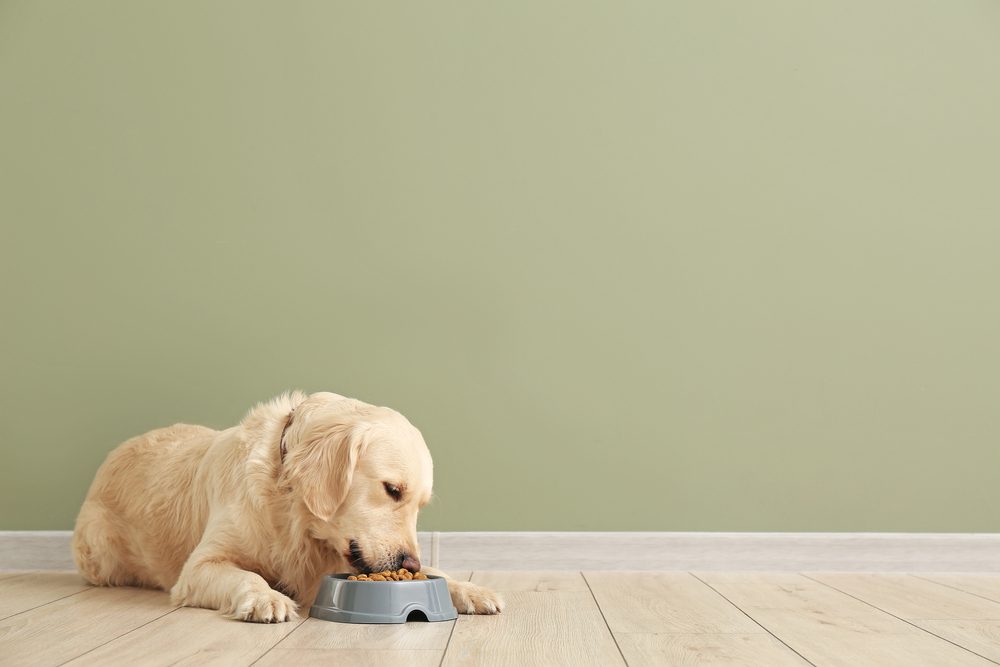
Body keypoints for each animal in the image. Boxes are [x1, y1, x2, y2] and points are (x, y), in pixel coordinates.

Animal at [74, 392, 504, 620]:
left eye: (420, 504)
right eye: (392, 489)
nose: (409, 564)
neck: (290, 507)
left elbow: (439, 573)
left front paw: (470, 589)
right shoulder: (199, 567)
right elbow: (247, 575)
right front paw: (267, 598)